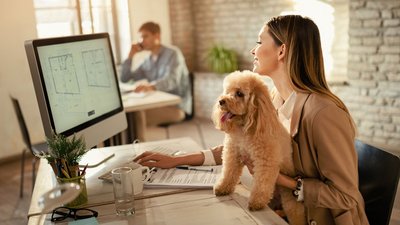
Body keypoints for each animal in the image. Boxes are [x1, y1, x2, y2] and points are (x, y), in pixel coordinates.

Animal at [212, 71, 306, 225]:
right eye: (227, 91)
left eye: (239, 94)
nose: (221, 101)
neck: (245, 128)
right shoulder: (232, 154)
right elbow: (228, 173)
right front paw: (222, 188)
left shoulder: (265, 162)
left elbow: (261, 184)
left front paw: (256, 202)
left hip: (291, 201)